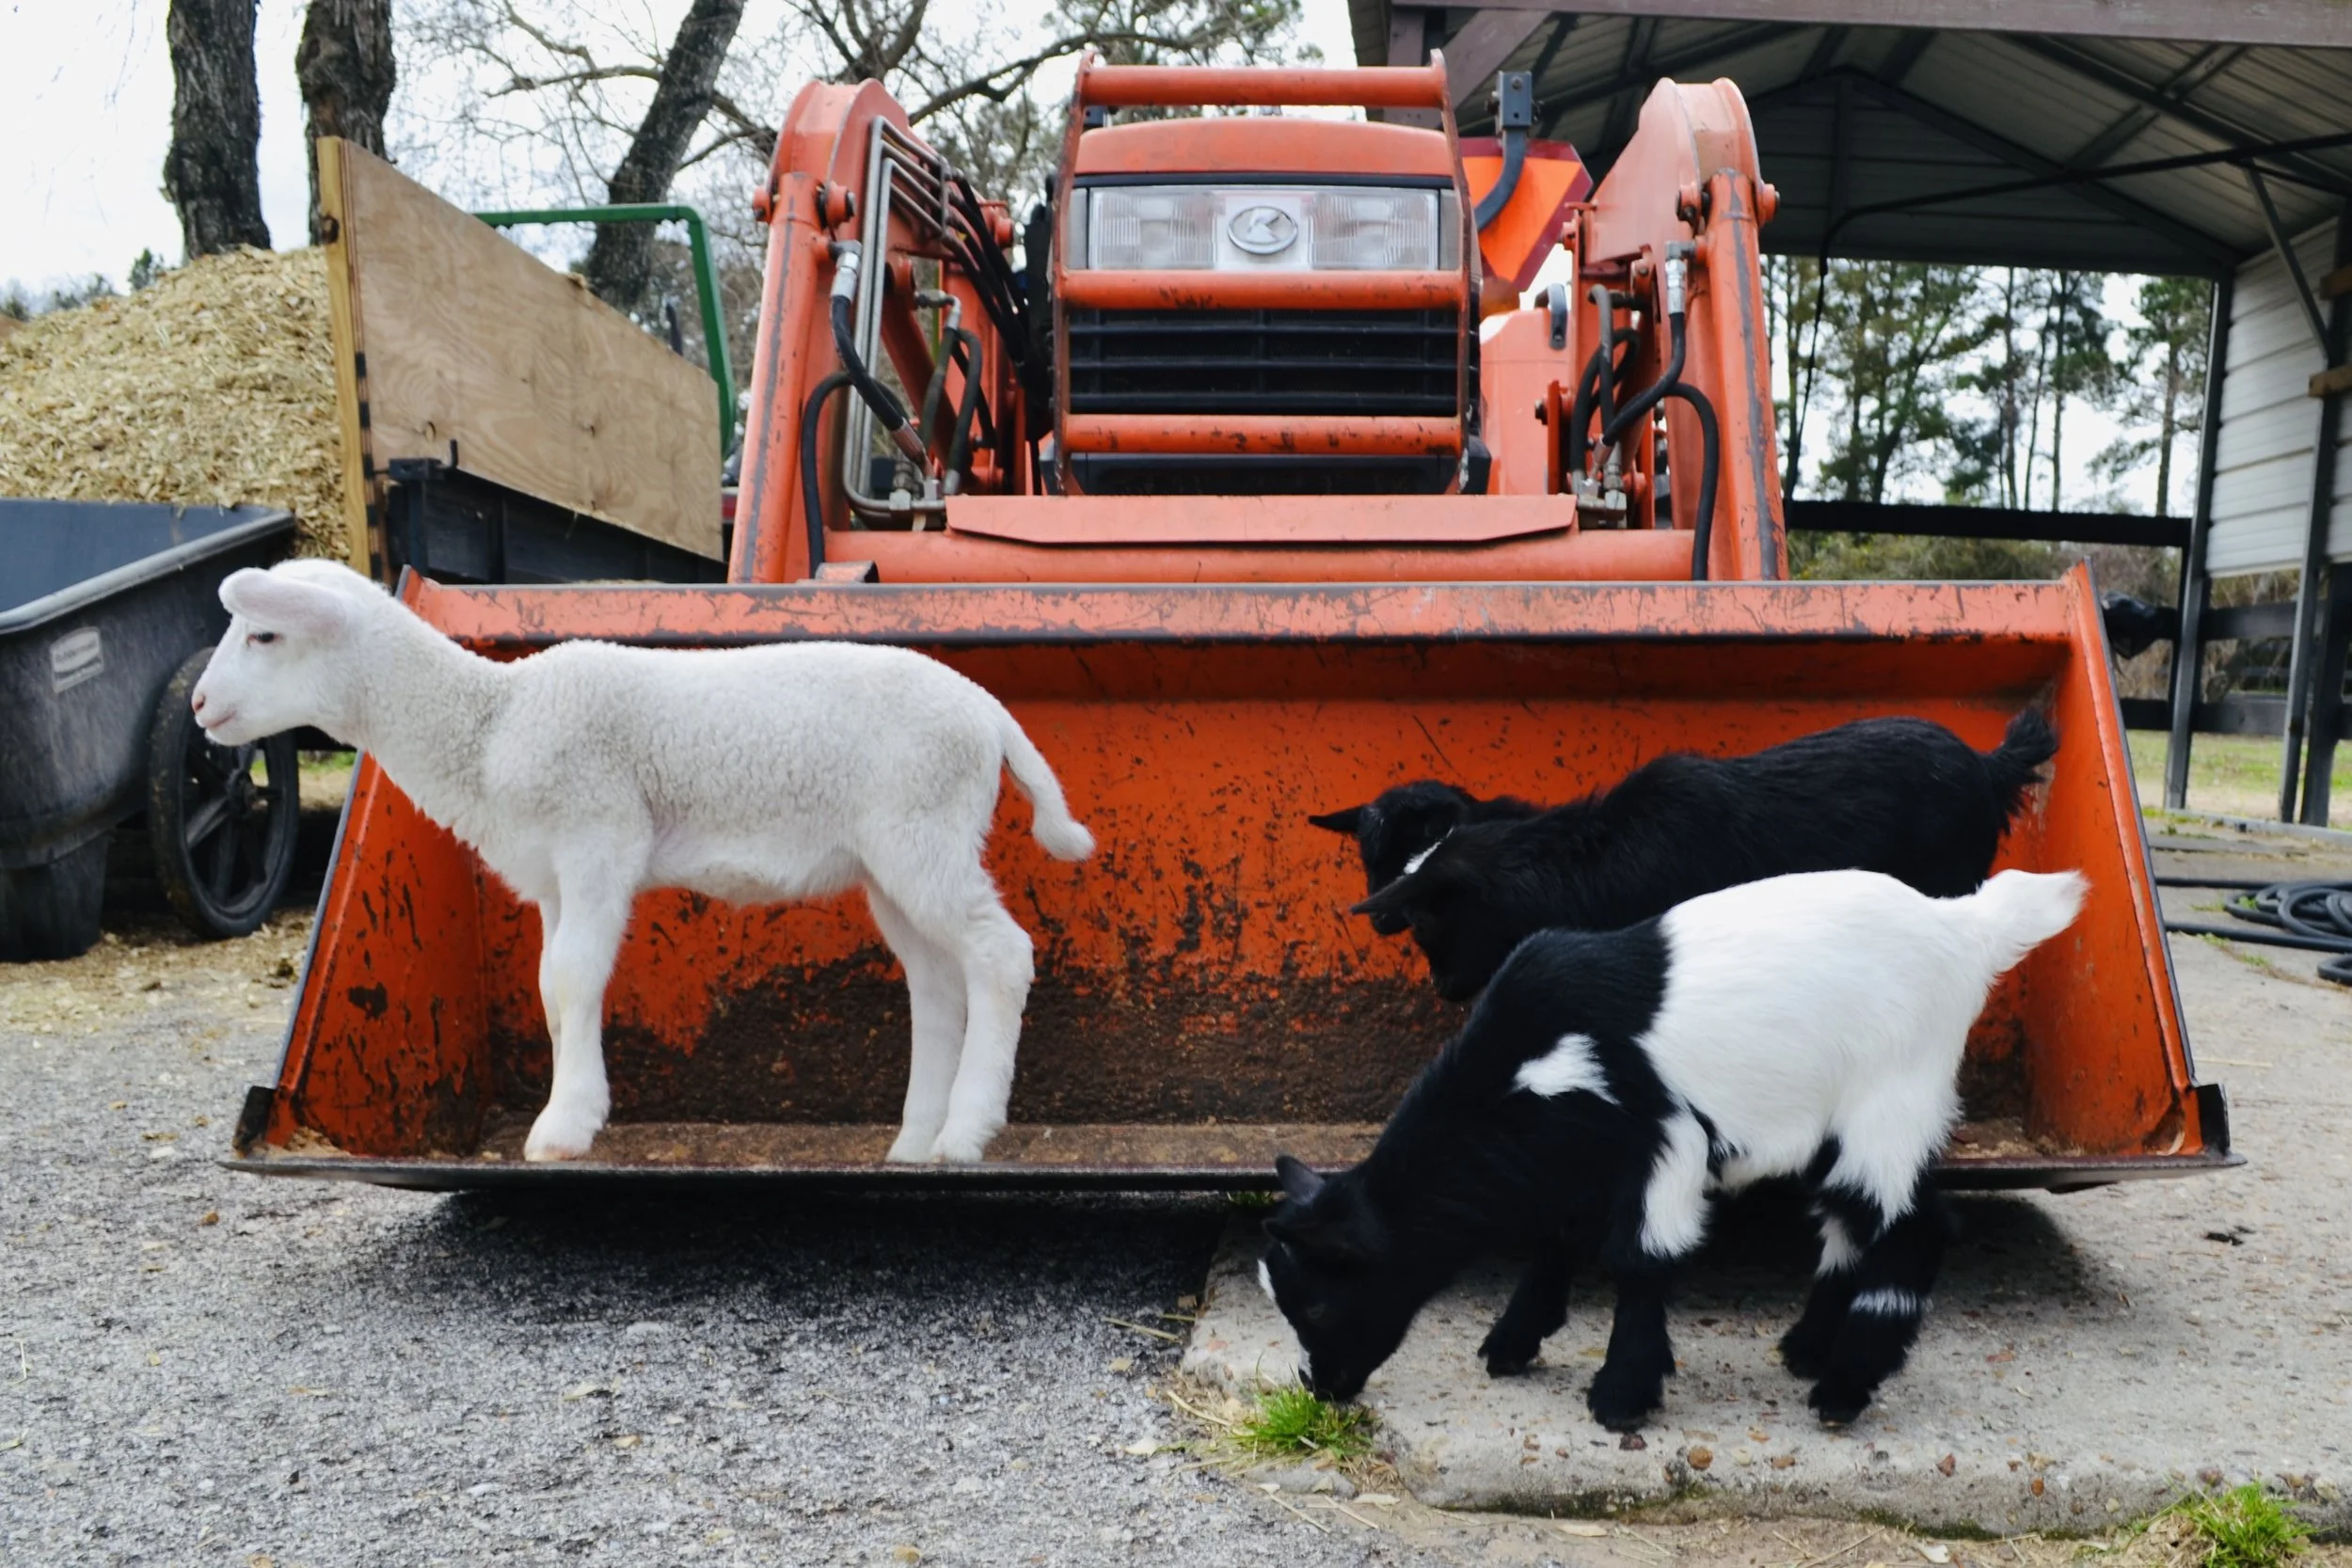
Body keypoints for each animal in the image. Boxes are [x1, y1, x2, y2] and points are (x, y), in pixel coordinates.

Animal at [190, 559, 1094, 1165]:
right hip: (898, 857)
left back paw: (966, 1132)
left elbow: (574, 977)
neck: (491, 725)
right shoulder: (554, 874)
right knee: (938, 982)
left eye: (264, 632)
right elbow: (552, 987)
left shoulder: (600, 833)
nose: (198, 704)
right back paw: (915, 1138)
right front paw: (572, 1099)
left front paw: (564, 1126)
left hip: (924, 829)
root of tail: (990, 714)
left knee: (1000, 955)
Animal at [1259, 867, 2086, 1431]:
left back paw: (1843, 1387)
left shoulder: (1663, 1137)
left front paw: (1621, 1396)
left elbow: (1640, 1260)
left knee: (1913, 1227)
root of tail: (1968, 928)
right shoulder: (1579, 1159)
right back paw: (1807, 1349)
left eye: (1321, 1299)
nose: (1320, 1385)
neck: (1526, 1058)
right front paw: (1514, 1342)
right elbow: (1557, 1240)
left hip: (1890, 1095)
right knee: (1850, 1226)